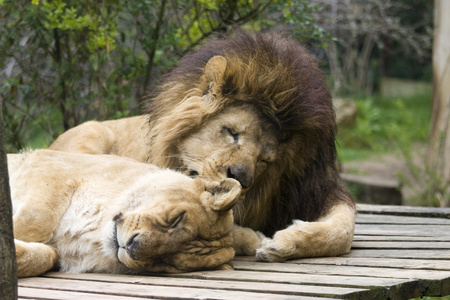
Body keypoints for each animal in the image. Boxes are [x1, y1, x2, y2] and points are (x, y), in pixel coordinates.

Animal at [8, 149, 241, 278]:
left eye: (168, 263)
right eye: (176, 220)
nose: (131, 246)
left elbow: (45, 255)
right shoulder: (50, 163)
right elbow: (36, 220)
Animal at [50, 29, 356, 262]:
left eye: (264, 161)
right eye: (231, 132)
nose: (242, 178)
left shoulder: (314, 191)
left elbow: (345, 229)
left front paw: (286, 241)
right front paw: (255, 239)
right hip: (89, 135)